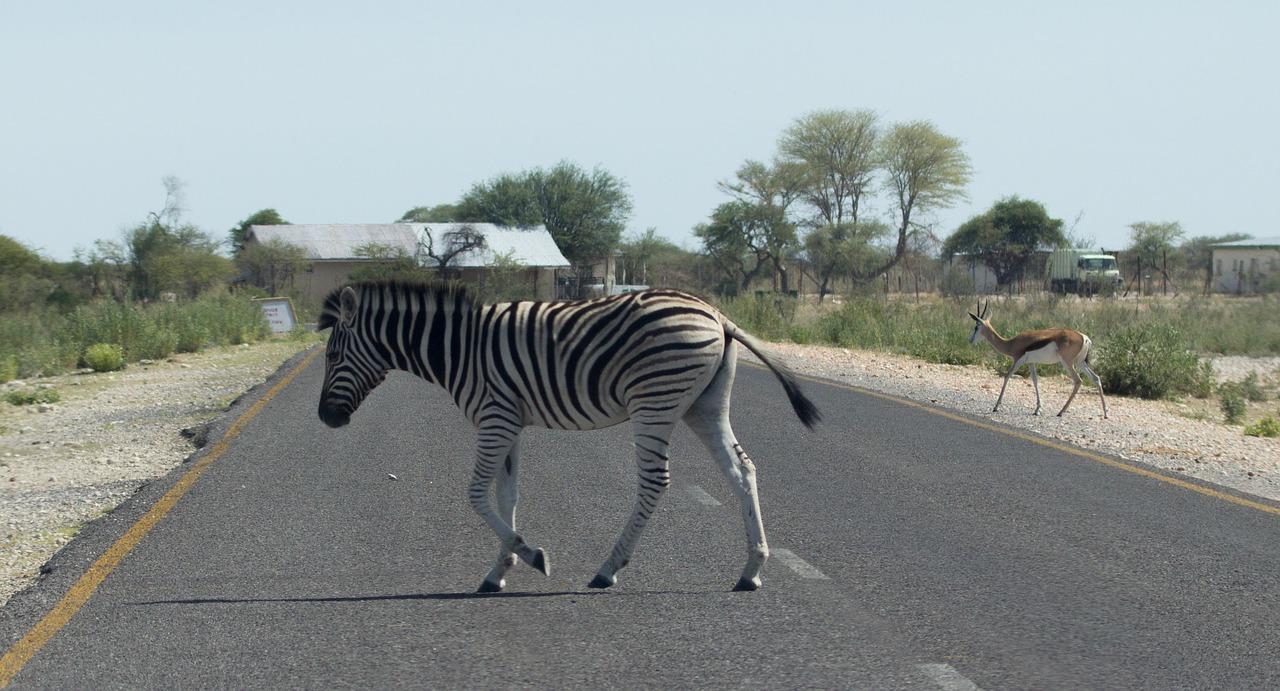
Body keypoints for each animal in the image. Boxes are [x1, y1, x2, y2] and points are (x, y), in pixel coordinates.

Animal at [318, 277, 819, 591]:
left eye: (333, 356)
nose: (325, 418)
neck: (459, 348)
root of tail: (717, 314)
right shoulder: (509, 422)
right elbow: (507, 495)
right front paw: (499, 570)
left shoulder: (494, 418)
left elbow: (476, 493)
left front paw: (531, 555)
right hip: (705, 406)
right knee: (743, 471)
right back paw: (751, 569)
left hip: (654, 402)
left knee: (656, 483)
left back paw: (608, 568)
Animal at [962, 300, 1105, 417]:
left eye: (976, 327)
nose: (969, 340)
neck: (1011, 343)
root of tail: (1084, 337)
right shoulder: (1031, 362)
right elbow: (1035, 381)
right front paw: (1037, 410)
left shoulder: (1018, 359)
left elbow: (1007, 376)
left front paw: (996, 407)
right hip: (1079, 362)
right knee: (1096, 378)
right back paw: (1105, 413)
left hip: (1067, 362)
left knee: (1078, 381)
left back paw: (1061, 412)